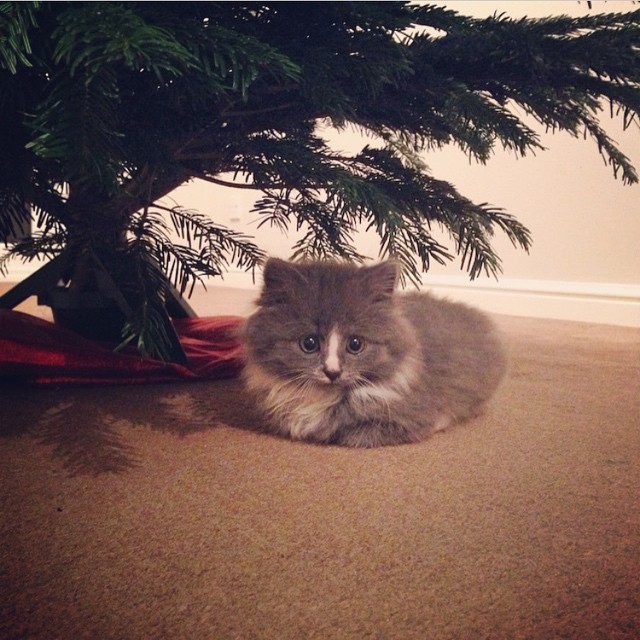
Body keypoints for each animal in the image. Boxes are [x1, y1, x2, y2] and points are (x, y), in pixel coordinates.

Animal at [240, 258, 504, 448]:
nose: (332, 372)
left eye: (355, 344)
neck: (325, 397)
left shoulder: (405, 418)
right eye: (309, 343)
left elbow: (351, 435)